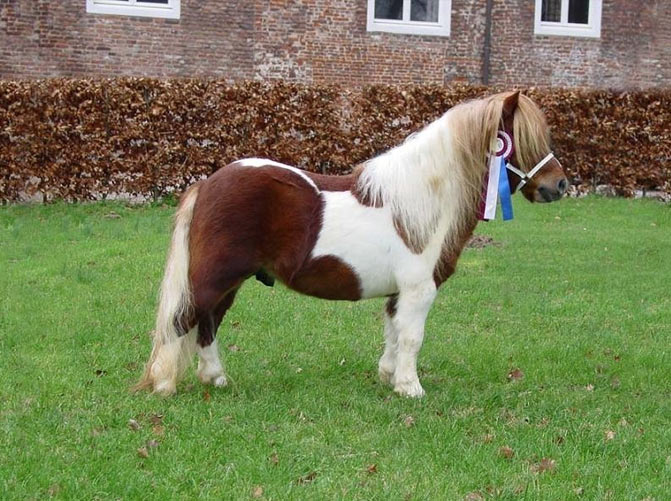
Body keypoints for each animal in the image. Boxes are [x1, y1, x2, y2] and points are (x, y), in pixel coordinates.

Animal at [134, 91, 568, 398]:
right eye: (523, 138)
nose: (559, 185)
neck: (420, 198)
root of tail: (208, 184)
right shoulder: (418, 289)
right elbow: (412, 336)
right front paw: (411, 388)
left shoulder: (398, 293)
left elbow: (393, 331)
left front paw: (390, 377)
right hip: (215, 278)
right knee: (183, 320)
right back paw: (164, 385)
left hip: (230, 281)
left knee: (208, 323)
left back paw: (216, 378)